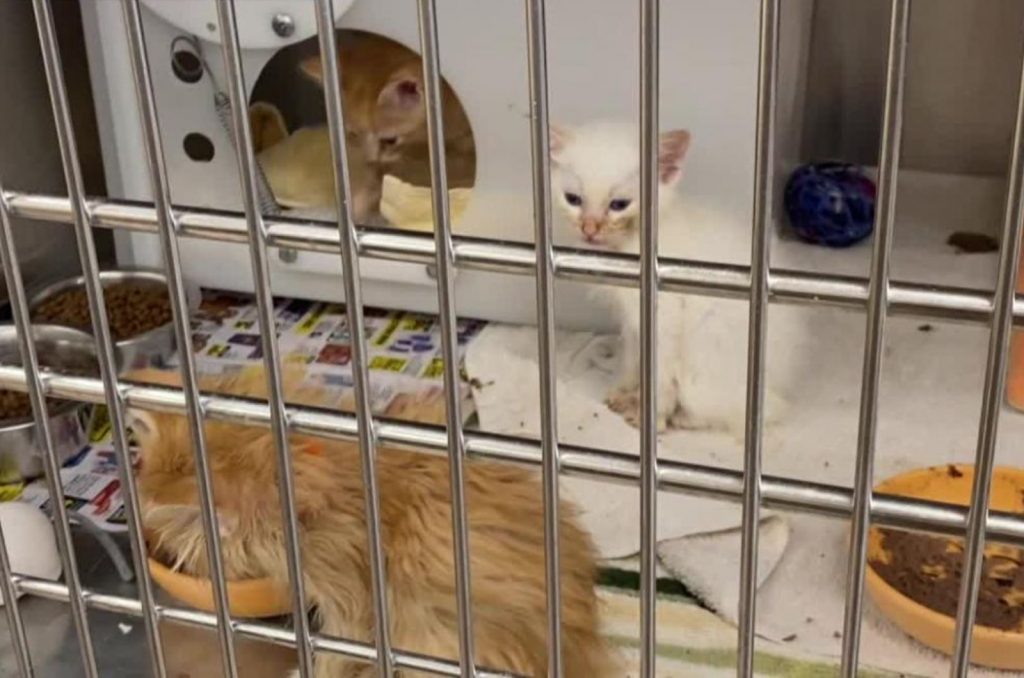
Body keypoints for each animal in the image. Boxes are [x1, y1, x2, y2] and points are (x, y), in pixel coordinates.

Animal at [552, 122, 790, 436]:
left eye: (619, 204)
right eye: (573, 200)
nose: (589, 229)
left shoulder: (665, 315)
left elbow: (661, 372)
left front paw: (653, 416)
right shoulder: (632, 319)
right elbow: (634, 354)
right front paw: (627, 389)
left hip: (706, 369)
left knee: (758, 411)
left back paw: (683, 417)